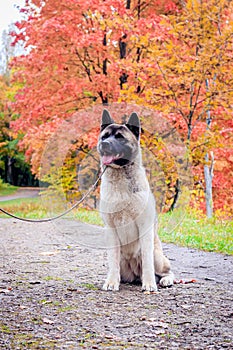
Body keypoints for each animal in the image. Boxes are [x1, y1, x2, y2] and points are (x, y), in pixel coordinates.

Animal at [96, 110, 173, 292]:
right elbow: (113, 261)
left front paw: (150, 284)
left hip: (157, 255)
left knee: (166, 271)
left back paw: (163, 280)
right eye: (105, 136)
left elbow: (147, 262)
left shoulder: (145, 227)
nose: (105, 144)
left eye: (120, 137)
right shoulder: (111, 229)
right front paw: (111, 282)